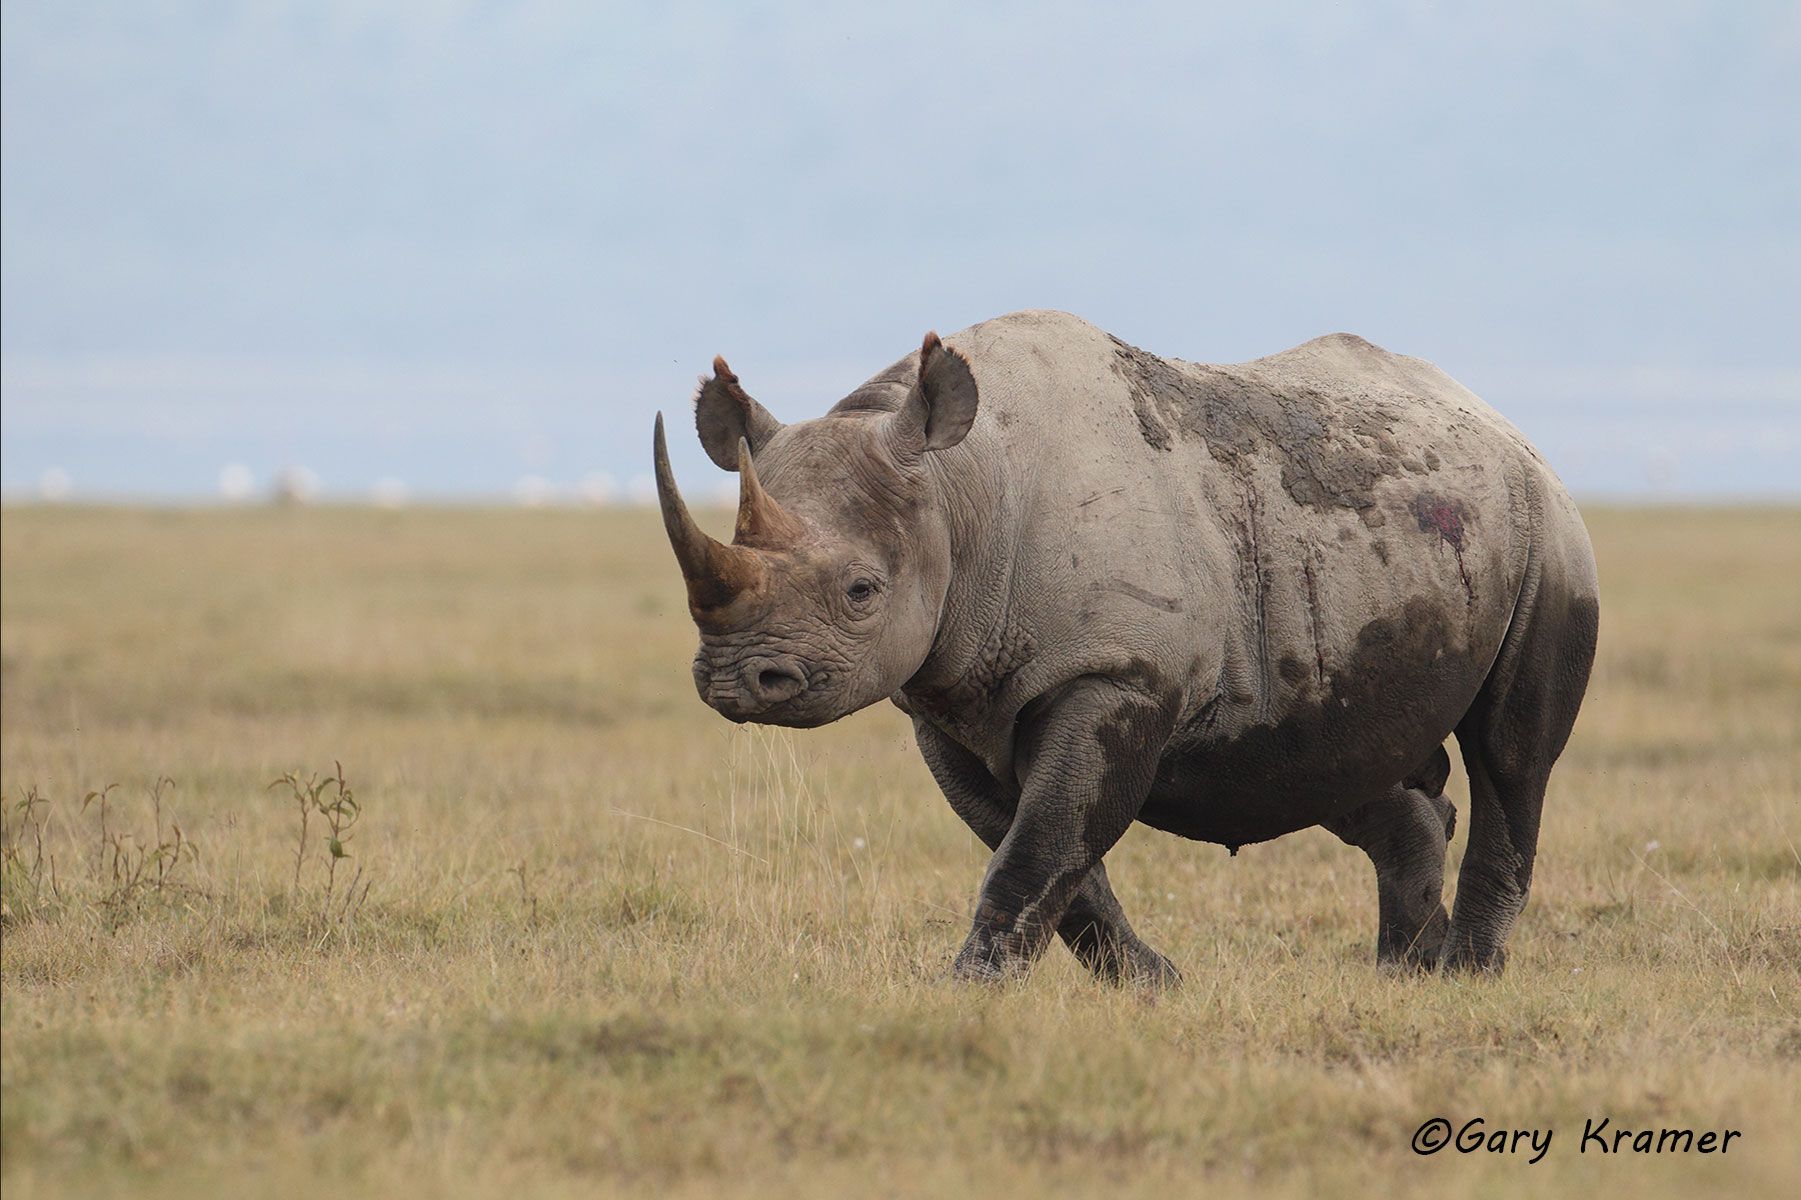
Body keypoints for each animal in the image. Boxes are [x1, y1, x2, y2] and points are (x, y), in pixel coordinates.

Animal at [652, 310, 1598, 983]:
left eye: (860, 592)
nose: (736, 681)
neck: (961, 489)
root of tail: (1504, 425)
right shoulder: (950, 701)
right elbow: (1047, 854)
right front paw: (1154, 985)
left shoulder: (1118, 678)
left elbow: (1040, 844)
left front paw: (964, 991)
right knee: (1335, 757)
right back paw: (1405, 973)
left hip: (1548, 532)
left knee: (1511, 754)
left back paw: (1466, 975)